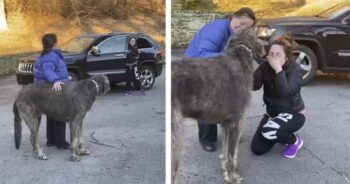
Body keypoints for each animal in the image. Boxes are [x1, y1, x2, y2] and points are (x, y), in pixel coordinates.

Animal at [171, 29, 264, 183]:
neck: (240, 55)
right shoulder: (235, 122)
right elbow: (231, 154)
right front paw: (232, 176)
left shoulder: (226, 123)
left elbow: (226, 150)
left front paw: (225, 169)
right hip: (176, 137)